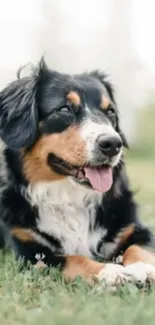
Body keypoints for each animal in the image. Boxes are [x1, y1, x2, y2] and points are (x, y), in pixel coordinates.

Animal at [0, 58, 155, 286]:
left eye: (110, 111)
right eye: (64, 109)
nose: (112, 144)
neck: (70, 197)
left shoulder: (134, 228)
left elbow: (138, 248)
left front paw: (143, 268)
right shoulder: (29, 250)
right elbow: (74, 259)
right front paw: (109, 272)